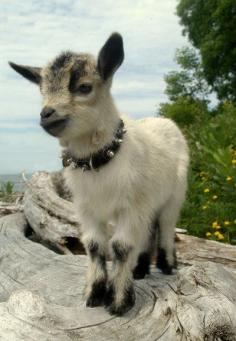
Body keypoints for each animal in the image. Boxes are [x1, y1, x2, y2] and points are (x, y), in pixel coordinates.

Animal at [10, 33, 189, 314]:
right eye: (42, 91)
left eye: (84, 87)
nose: (46, 114)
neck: (100, 163)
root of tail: (164, 121)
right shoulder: (87, 209)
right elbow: (94, 245)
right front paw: (93, 294)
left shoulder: (130, 207)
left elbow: (121, 247)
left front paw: (118, 301)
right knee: (148, 231)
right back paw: (140, 270)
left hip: (174, 195)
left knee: (166, 226)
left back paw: (168, 266)